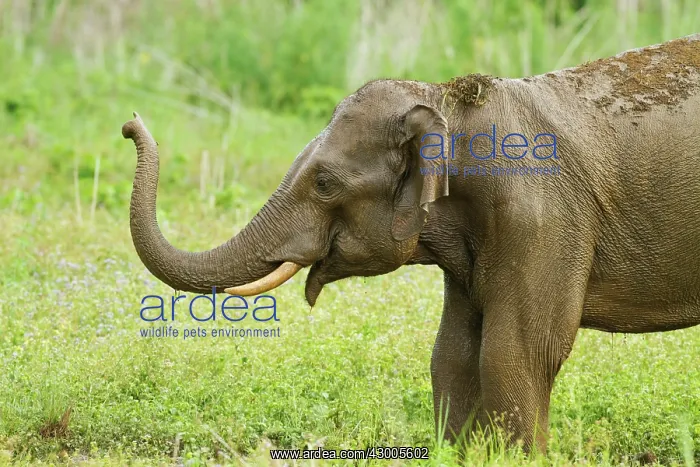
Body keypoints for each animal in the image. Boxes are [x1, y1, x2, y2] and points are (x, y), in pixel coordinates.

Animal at [122, 33, 700, 452]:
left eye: (325, 183)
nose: (130, 122)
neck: (448, 102)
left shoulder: (542, 217)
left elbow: (518, 352)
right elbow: (453, 355)